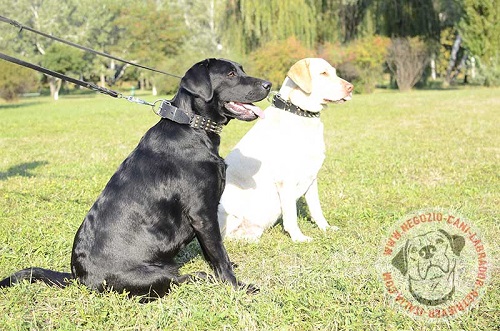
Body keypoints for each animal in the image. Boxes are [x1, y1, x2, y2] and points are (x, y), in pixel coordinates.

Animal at [0, 58, 272, 300]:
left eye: (240, 69)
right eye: (230, 74)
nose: (268, 84)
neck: (192, 127)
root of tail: (78, 277)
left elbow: (213, 254)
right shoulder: (202, 214)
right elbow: (218, 253)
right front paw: (237, 287)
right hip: (153, 274)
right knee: (174, 282)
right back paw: (199, 277)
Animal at [217, 58, 354, 243]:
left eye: (334, 72)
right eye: (323, 73)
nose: (351, 88)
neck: (301, 114)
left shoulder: (312, 177)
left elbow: (316, 208)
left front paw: (325, 228)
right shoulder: (286, 180)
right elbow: (291, 215)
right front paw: (299, 238)